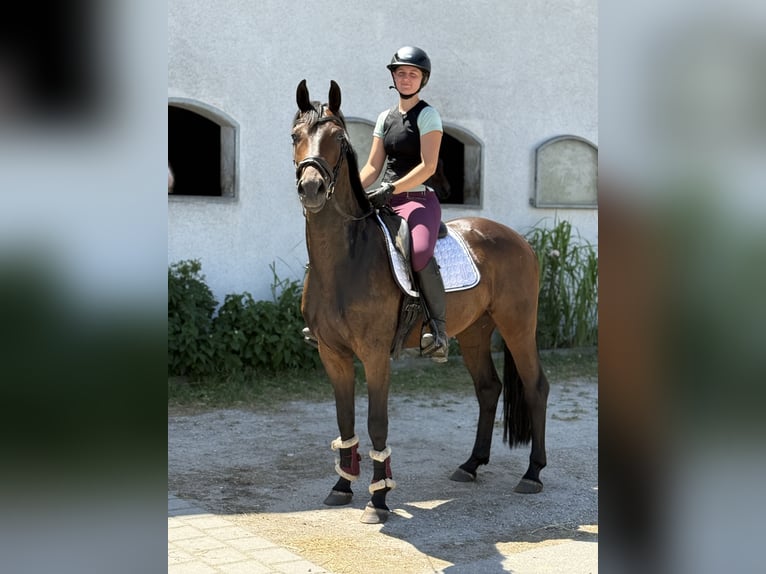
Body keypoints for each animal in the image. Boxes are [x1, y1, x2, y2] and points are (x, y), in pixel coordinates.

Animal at [292, 80, 549, 524]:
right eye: (295, 136)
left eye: (339, 139)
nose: (311, 188)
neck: (344, 260)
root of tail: (518, 240)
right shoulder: (332, 353)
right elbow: (345, 421)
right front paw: (341, 486)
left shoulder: (375, 354)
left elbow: (377, 422)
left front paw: (378, 500)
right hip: (476, 331)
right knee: (488, 388)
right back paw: (470, 465)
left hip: (517, 326)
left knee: (535, 387)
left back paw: (532, 473)